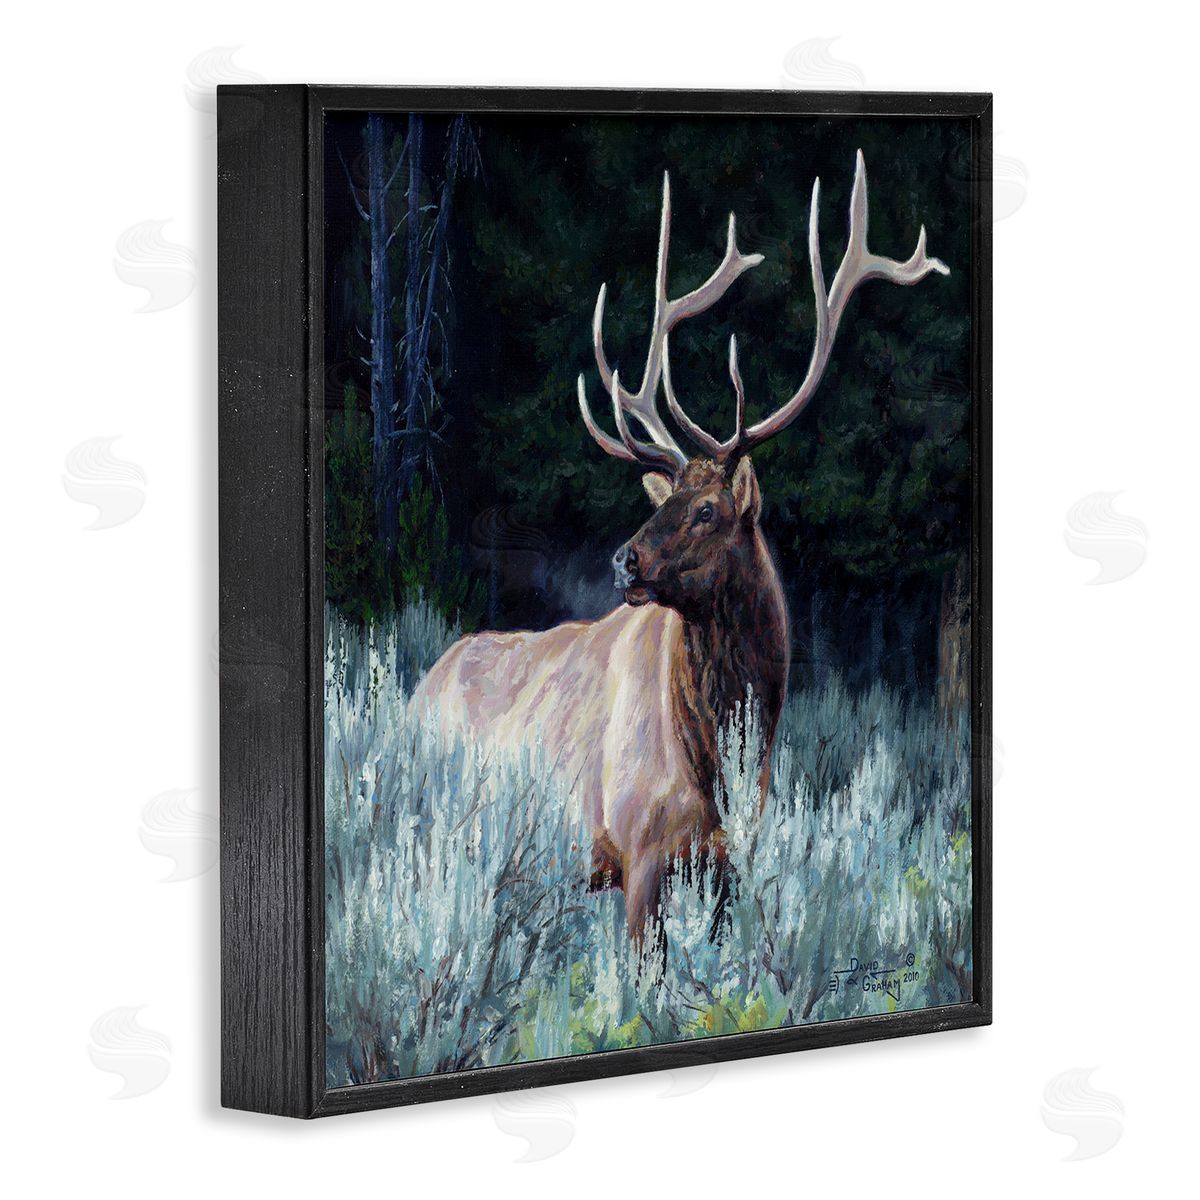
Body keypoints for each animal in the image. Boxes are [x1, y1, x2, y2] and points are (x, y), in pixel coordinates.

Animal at [410, 151, 948, 944]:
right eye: (664, 504)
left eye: (706, 509)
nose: (623, 559)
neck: (725, 764)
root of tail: (417, 690)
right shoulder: (639, 853)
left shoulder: (727, 866)